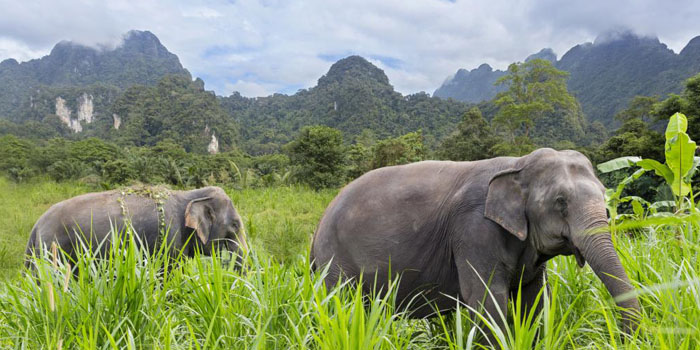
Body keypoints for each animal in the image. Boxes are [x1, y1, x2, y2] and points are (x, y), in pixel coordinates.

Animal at [312, 148, 640, 336]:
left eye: (605, 195)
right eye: (561, 202)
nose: (622, 337)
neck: (518, 163)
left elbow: (534, 300)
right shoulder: (473, 229)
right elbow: (486, 300)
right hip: (334, 261)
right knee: (340, 305)